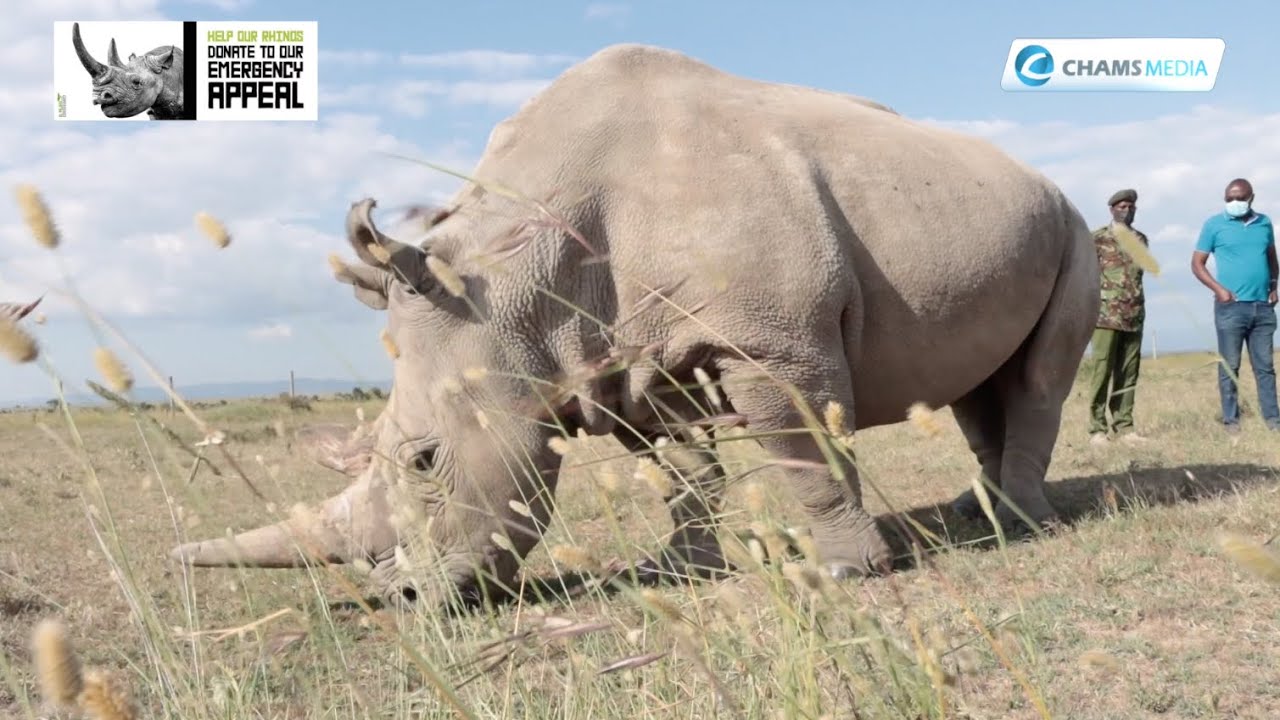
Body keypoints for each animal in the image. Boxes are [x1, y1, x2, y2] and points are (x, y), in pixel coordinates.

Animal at [171, 44, 1099, 608]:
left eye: (425, 460)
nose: (398, 601)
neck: (513, 280)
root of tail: (1039, 174)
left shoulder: (771, 341)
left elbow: (804, 453)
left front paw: (842, 572)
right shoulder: (625, 356)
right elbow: (683, 474)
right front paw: (679, 570)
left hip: (1075, 225)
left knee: (1039, 378)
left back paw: (1022, 523)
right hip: (996, 218)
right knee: (981, 385)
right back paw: (982, 512)